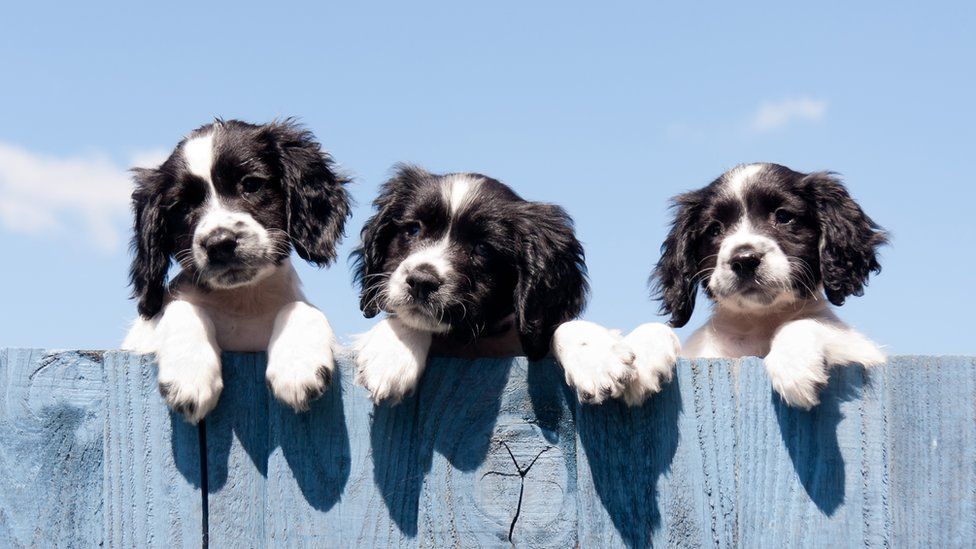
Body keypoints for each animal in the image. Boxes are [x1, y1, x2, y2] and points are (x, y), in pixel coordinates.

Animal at [120, 117, 350, 422]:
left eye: (251, 184)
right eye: (182, 206)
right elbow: (180, 307)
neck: (242, 302)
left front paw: (298, 366)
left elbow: (301, 307)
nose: (219, 243)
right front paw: (190, 375)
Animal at [354, 165, 600, 400]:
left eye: (482, 248)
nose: (421, 282)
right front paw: (391, 354)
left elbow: (558, 327)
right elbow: (406, 320)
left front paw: (594, 352)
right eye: (413, 229)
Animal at [652, 163, 888, 406]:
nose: (744, 259)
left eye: (783, 216)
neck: (759, 320)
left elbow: (808, 322)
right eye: (714, 229)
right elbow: (656, 328)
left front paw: (793, 365)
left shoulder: (866, 353)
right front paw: (641, 355)